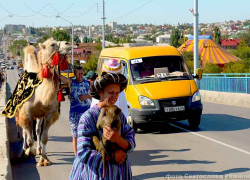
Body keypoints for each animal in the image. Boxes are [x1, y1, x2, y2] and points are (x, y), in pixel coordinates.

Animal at [15, 38, 71, 166]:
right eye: (52, 44)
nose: (68, 44)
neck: (40, 95)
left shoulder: (48, 115)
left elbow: (44, 137)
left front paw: (44, 159)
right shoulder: (27, 114)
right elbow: (30, 140)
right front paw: (29, 153)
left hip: (39, 116)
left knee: (37, 130)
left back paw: (39, 149)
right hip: (21, 112)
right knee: (24, 132)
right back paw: (23, 151)